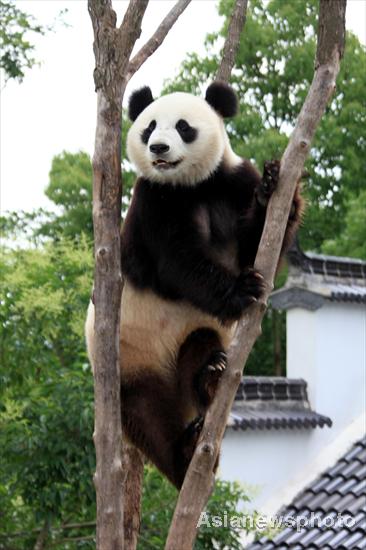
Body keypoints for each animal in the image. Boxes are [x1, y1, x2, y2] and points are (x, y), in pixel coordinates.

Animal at [86, 81, 304, 488]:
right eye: (149, 128)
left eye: (183, 127)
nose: (158, 149)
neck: (193, 185)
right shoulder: (154, 202)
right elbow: (178, 262)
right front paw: (241, 290)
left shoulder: (231, 184)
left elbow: (260, 244)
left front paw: (271, 189)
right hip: (130, 367)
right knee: (146, 417)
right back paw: (184, 456)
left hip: (188, 342)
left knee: (200, 344)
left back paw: (210, 379)